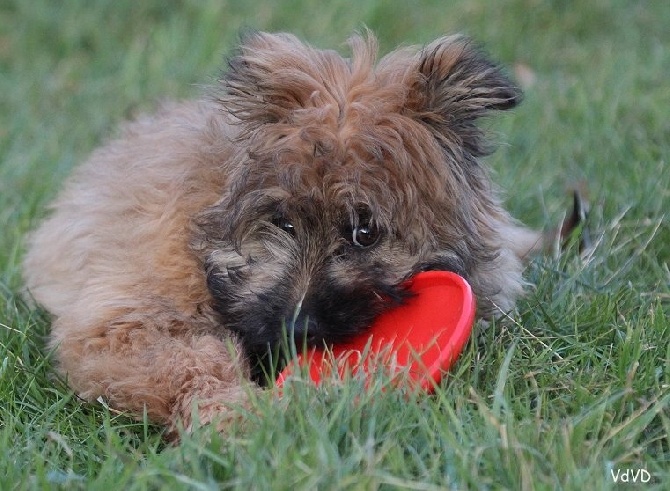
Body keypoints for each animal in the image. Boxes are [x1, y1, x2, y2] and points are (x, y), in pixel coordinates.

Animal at [23, 31, 552, 434]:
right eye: (283, 221)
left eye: (365, 232)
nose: (297, 332)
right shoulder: (118, 325)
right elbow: (185, 361)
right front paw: (232, 414)